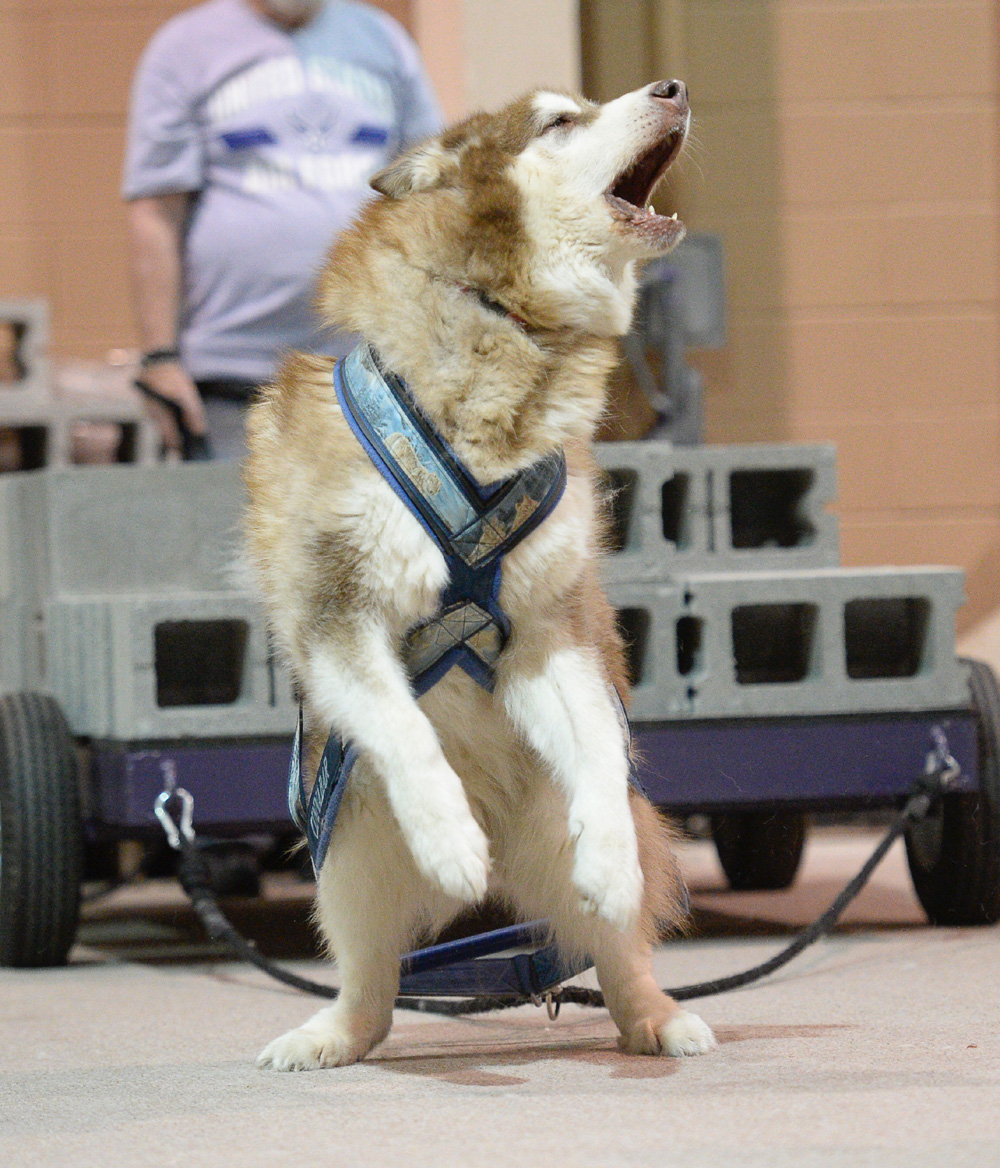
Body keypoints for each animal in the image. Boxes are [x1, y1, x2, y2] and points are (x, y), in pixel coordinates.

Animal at [242, 80, 714, 1069]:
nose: (672, 88)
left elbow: (600, 747)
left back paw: (655, 1014)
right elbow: (404, 729)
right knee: (373, 982)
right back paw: (331, 1032)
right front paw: (451, 837)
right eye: (561, 121)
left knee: (617, 946)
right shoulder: (334, 613)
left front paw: (607, 853)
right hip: (348, 847)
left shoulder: (549, 631)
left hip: (549, 834)